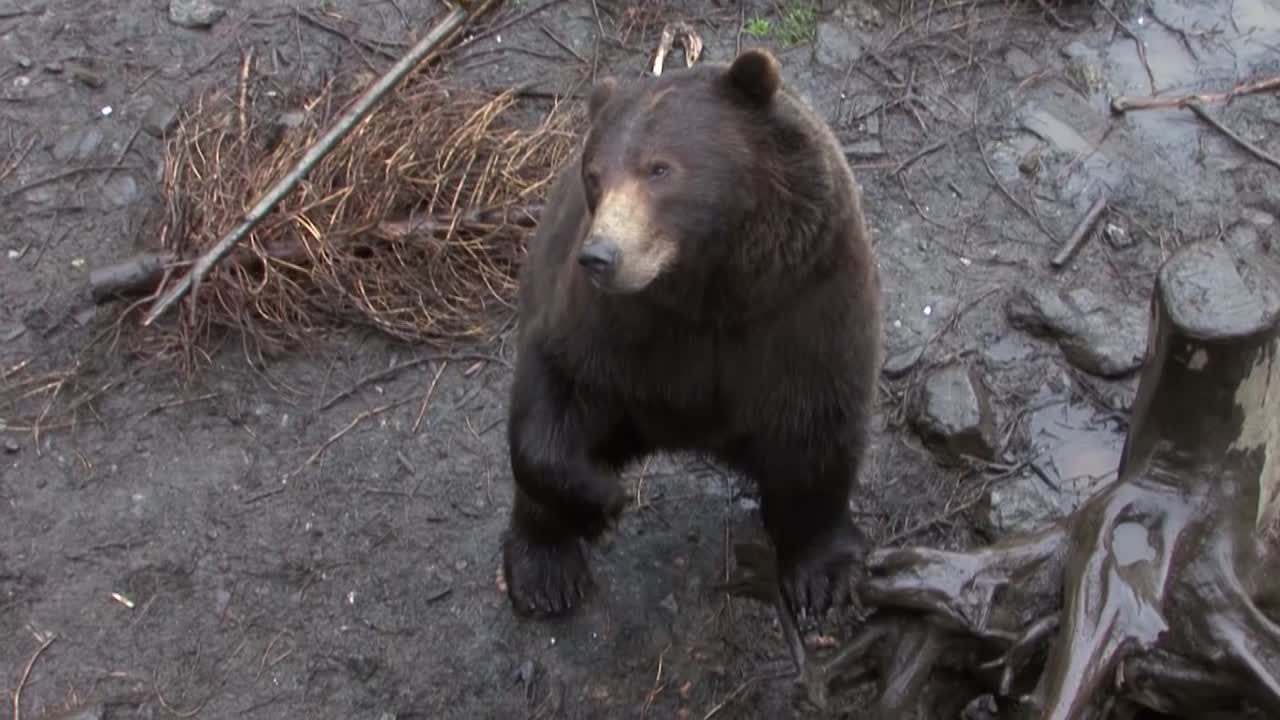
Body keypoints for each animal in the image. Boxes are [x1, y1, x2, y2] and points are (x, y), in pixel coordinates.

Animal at [500, 48, 883, 623]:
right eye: (595, 175)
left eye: (659, 168)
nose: (602, 255)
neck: (711, 288)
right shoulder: (617, 327)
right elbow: (554, 396)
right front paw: (601, 506)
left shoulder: (803, 305)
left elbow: (817, 428)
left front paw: (823, 572)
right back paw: (543, 566)